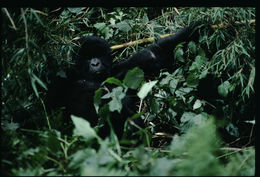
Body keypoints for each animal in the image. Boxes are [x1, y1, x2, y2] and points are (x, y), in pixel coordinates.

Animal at [46, 21, 199, 138]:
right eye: (88, 57)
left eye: (99, 54)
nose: (95, 63)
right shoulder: (63, 78)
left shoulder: (124, 70)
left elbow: (155, 54)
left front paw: (197, 26)